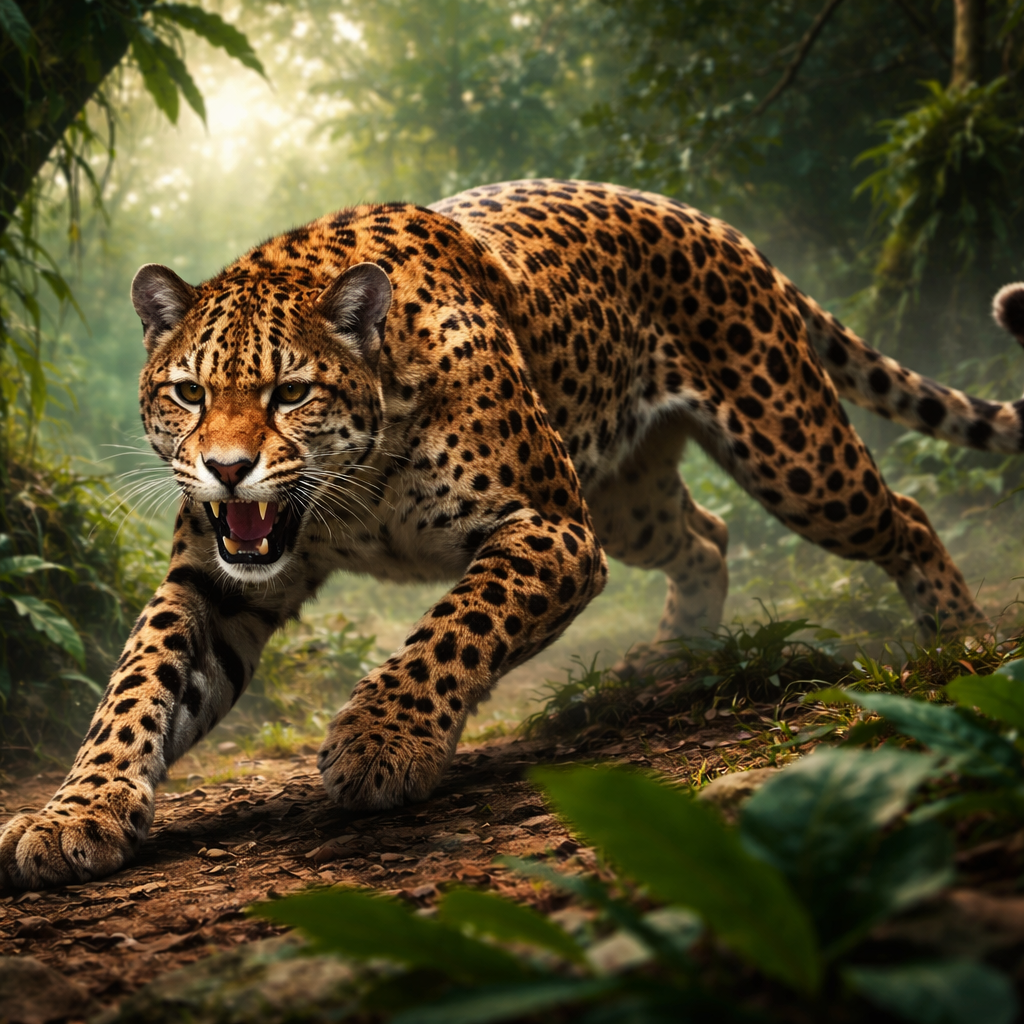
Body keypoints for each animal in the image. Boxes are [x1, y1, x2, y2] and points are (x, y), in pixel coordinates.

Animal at [2, 178, 1023, 891]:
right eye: (188, 393)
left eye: (291, 392)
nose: (225, 469)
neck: (352, 491)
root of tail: (710, 221)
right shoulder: (211, 578)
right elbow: (137, 685)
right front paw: (75, 813)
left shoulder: (552, 531)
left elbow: (455, 628)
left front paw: (381, 742)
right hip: (629, 499)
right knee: (706, 534)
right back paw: (673, 658)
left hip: (793, 453)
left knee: (902, 514)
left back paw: (961, 638)